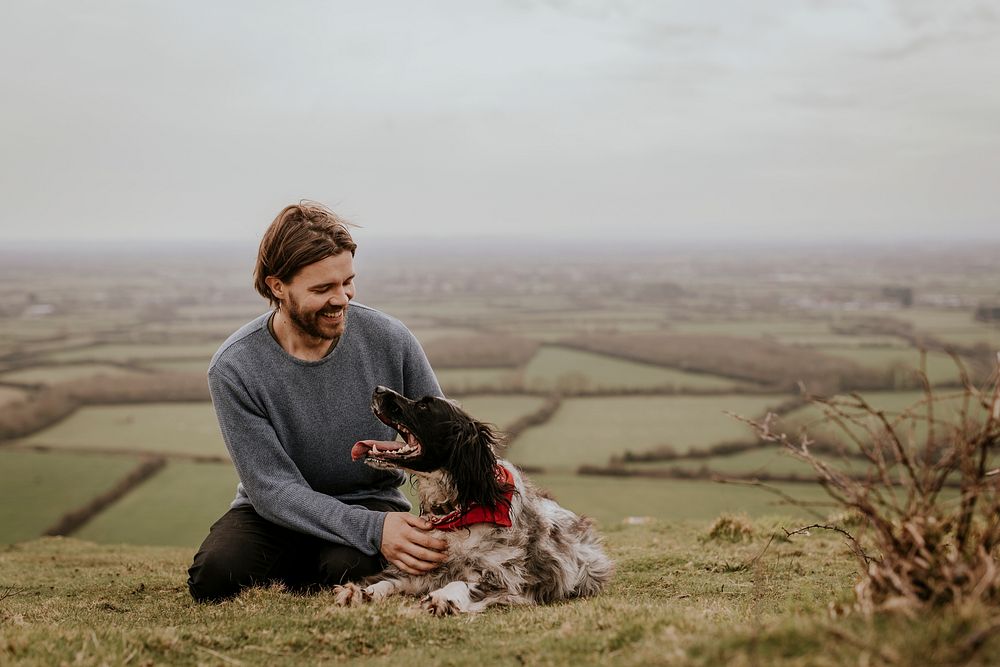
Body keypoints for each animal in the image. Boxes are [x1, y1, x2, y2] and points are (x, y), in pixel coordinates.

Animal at [332, 386, 612, 616]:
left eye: (424, 406)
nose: (378, 389)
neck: (460, 508)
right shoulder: (423, 568)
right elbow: (387, 581)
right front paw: (360, 592)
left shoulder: (504, 576)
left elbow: (462, 583)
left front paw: (440, 599)